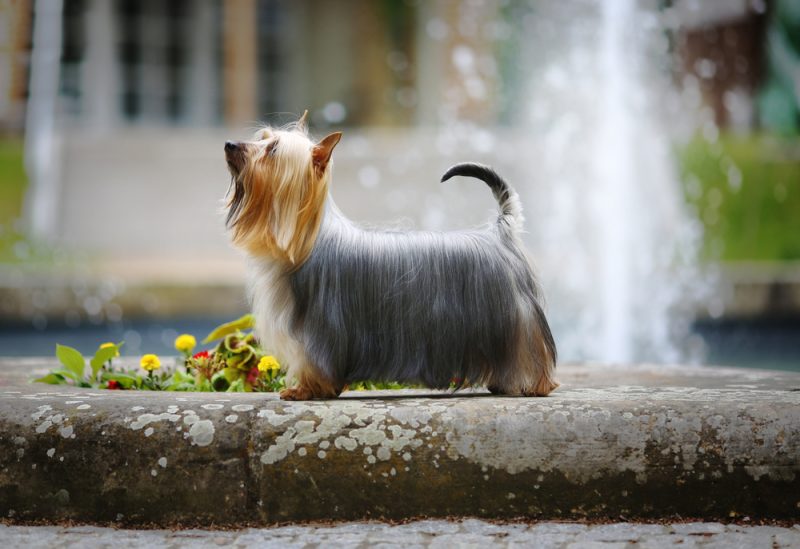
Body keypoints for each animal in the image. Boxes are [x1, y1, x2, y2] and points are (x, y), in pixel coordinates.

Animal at [222, 112, 552, 402]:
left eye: (273, 150)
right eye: (262, 138)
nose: (230, 144)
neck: (306, 242)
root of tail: (501, 232)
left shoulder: (317, 332)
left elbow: (313, 362)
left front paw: (305, 390)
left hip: (514, 321)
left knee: (527, 353)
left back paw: (531, 384)